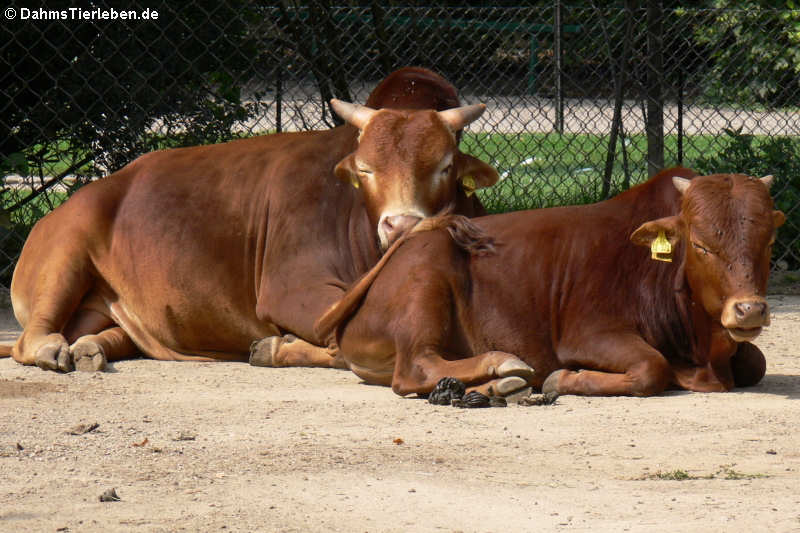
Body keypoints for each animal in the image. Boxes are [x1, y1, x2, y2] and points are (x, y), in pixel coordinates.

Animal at [1, 66, 500, 372]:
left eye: (445, 166)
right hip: (67, 247)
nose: (400, 226)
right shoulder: (292, 290)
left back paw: (91, 348)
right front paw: (276, 346)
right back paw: (55, 348)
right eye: (365, 170)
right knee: (31, 339)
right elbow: (340, 340)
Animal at [316, 168, 784, 396]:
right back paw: (502, 366)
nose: (749, 309)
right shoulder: (588, 333)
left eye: (768, 241)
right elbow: (653, 368)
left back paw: (493, 388)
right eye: (701, 245)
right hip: (425, 279)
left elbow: (756, 362)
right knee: (416, 368)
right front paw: (565, 379)